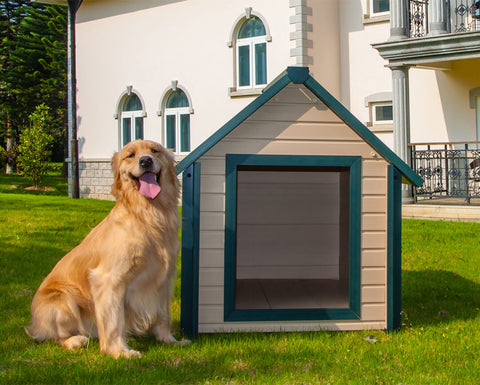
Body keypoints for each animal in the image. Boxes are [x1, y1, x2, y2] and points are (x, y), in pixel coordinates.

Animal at [25, 139, 188, 356]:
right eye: (130, 155)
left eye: (155, 151)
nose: (145, 161)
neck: (148, 214)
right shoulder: (109, 280)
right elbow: (114, 321)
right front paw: (119, 351)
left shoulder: (164, 278)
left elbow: (163, 315)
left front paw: (169, 340)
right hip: (62, 300)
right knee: (50, 336)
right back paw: (75, 339)